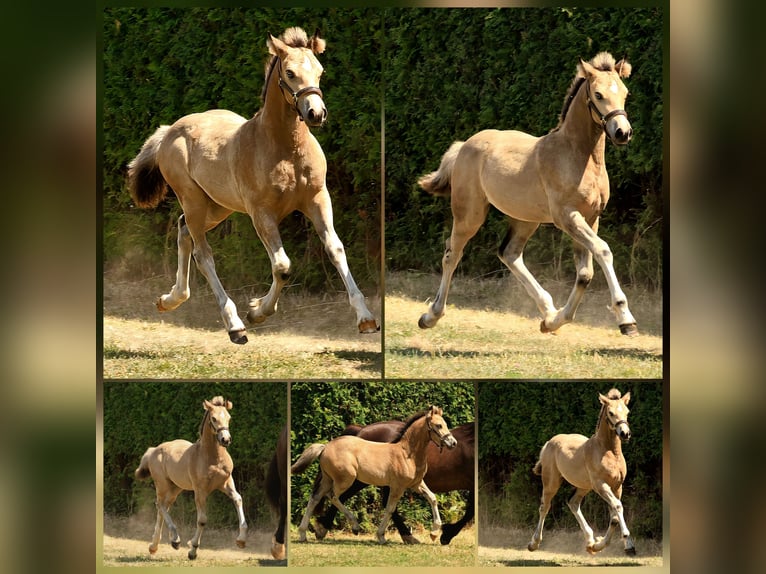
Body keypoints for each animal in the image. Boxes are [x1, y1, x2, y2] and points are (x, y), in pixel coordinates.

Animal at [126, 27, 379, 344]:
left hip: (218, 206)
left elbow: (335, 249)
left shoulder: (318, 199)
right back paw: (234, 325)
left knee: (184, 230)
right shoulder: (261, 213)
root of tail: (169, 130)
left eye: (320, 71)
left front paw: (366, 318)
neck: (286, 149)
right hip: (194, 200)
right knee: (203, 254)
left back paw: (171, 298)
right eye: (290, 73)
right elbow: (282, 266)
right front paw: (257, 312)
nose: (316, 113)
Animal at [134, 396, 247, 559]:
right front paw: (192, 549)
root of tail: (153, 450)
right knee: (160, 504)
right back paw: (174, 540)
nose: (225, 439)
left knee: (163, 507)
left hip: (176, 488)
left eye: (229, 417)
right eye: (213, 418)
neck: (213, 458)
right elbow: (202, 520)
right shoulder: (200, 490)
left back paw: (155, 546)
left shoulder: (226, 482)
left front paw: (241, 540)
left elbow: (238, 499)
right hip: (162, 484)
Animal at [292, 406, 458, 544]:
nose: (453, 443)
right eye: (438, 425)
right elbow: (390, 509)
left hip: (329, 479)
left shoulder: (416, 483)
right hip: (346, 479)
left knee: (315, 498)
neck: (407, 454)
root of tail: (325, 447)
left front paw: (434, 533)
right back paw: (355, 526)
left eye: (445, 424)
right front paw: (381, 536)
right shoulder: (398, 486)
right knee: (332, 496)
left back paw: (303, 534)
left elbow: (433, 498)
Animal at [417, 52, 638, 336]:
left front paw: (556, 321)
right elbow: (603, 251)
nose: (623, 132)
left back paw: (548, 312)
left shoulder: (591, 218)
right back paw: (430, 316)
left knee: (509, 253)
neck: (579, 156)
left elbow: (585, 273)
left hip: (525, 219)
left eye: (625, 92)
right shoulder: (567, 217)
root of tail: (464, 145)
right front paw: (626, 318)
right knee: (452, 255)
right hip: (469, 215)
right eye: (598, 94)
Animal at [528, 388, 635, 555]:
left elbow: (614, 517)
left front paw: (598, 545)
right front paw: (628, 542)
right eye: (611, 413)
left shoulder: (617, 486)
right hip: (551, 482)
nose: (625, 433)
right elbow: (617, 507)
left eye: (627, 412)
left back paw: (590, 541)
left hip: (583, 486)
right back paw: (534, 543)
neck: (609, 452)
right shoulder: (601, 485)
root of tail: (549, 442)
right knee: (544, 507)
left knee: (573, 502)